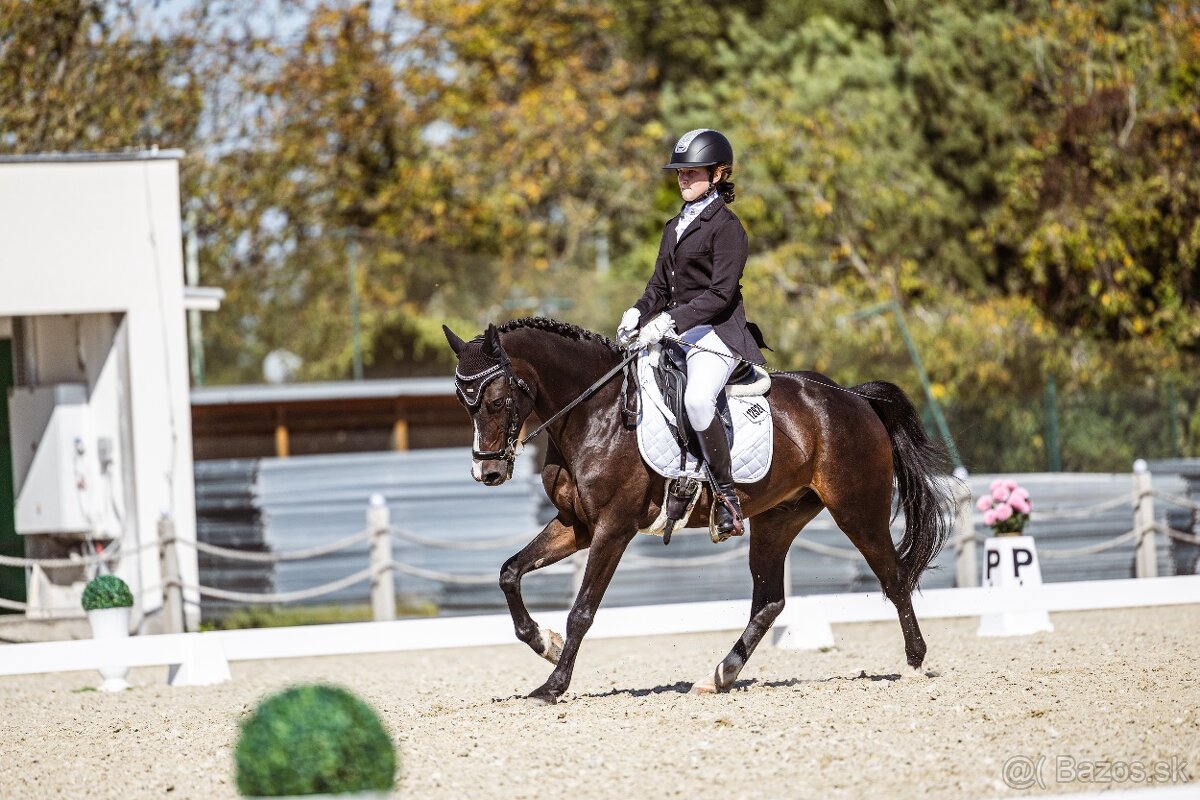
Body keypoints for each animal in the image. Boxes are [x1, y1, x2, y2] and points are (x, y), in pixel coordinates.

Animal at [443, 317, 954, 705]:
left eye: (496, 400)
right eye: (462, 404)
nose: (488, 472)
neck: (595, 414)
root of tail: (852, 397)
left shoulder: (613, 529)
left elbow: (582, 611)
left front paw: (552, 685)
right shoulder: (577, 526)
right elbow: (509, 572)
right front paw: (542, 643)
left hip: (856, 509)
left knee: (894, 577)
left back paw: (914, 663)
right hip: (777, 519)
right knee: (770, 601)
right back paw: (720, 675)